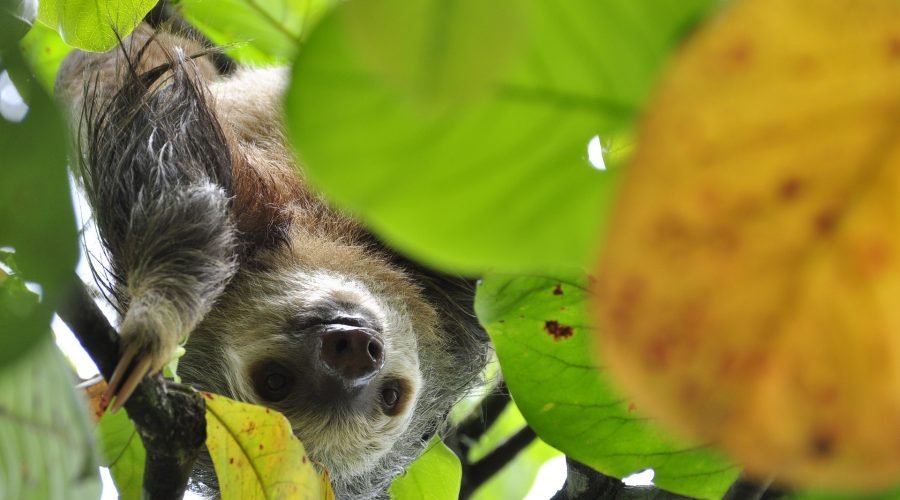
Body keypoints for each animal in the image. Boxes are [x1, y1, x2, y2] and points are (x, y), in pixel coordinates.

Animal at [56, 24, 492, 498]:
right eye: (275, 381)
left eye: (391, 395)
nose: (354, 353)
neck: (317, 232)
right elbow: (173, 189)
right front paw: (157, 320)